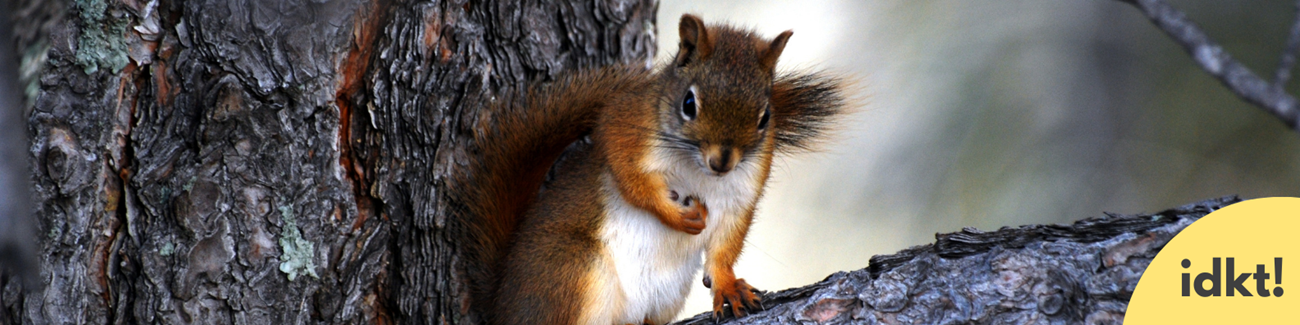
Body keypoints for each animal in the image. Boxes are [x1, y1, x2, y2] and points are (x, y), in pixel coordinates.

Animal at [452, 13, 847, 325]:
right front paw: (676, 216)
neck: (697, 169)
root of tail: (504, 306)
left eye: (764, 117)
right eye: (689, 103)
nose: (722, 162)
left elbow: (726, 244)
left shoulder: (743, 189)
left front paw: (728, 286)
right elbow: (630, 178)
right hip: (573, 269)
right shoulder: (624, 124)